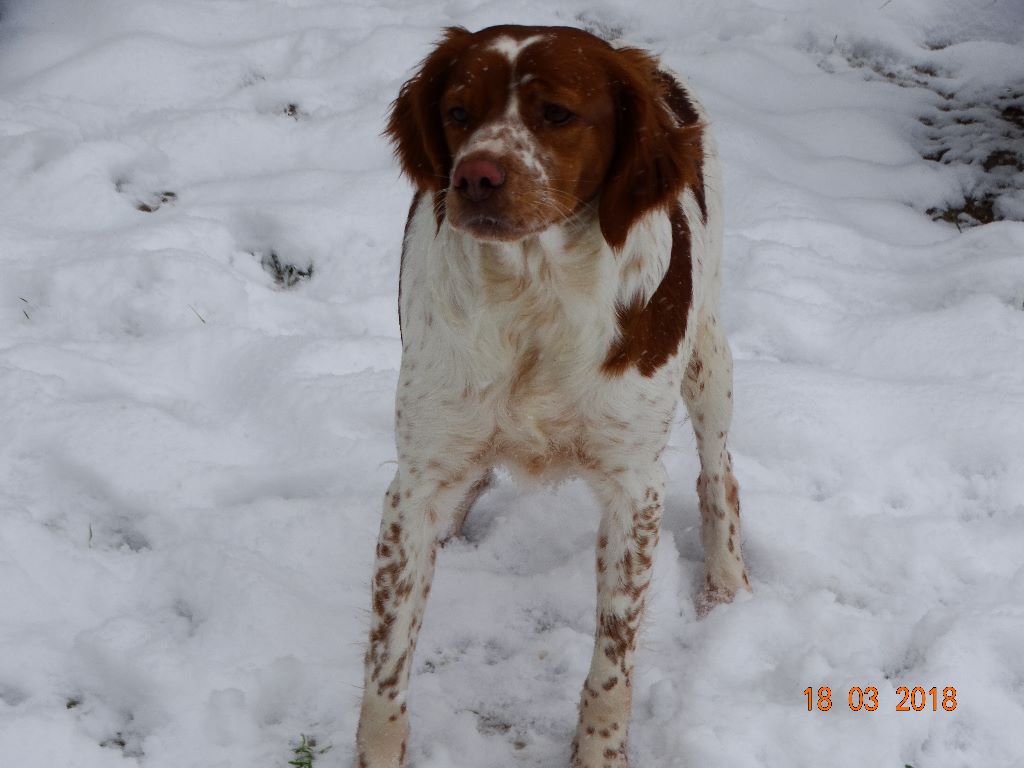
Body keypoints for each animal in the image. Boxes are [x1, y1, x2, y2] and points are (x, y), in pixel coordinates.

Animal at [355, 24, 751, 768]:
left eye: (558, 114)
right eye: (458, 112)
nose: (475, 176)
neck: (532, 295)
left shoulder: (635, 488)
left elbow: (612, 664)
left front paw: (598, 751)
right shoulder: (415, 483)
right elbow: (387, 662)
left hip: (708, 358)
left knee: (719, 474)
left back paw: (727, 583)